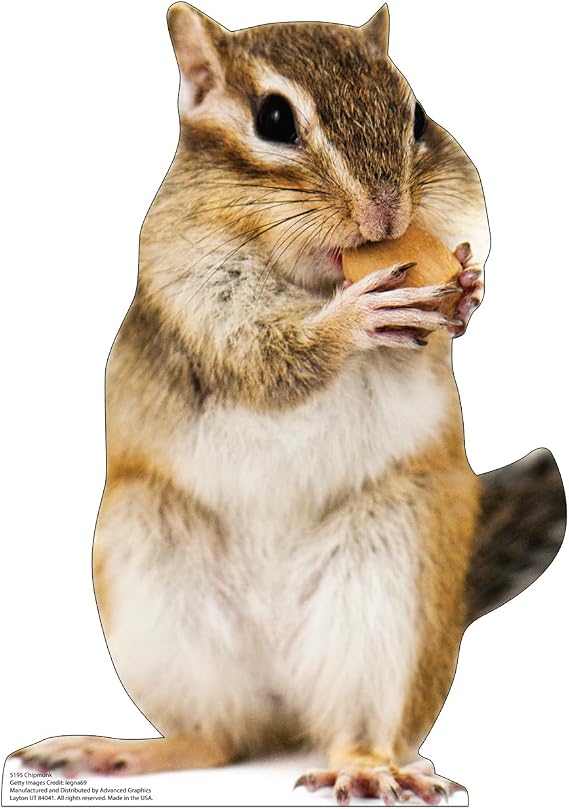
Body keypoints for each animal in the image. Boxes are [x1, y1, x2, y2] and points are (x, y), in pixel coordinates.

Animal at [11, 3, 566, 805]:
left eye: (418, 114)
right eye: (273, 119)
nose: (386, 216)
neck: (315, 277)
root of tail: (283, 686)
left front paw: (467, 290)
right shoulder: (192, 286)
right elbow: (262, 348)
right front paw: (355, 317)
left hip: (390, 585)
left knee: (346, 725)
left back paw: (371, 766)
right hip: (154, 580)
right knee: (217, 737)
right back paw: (118, 751)